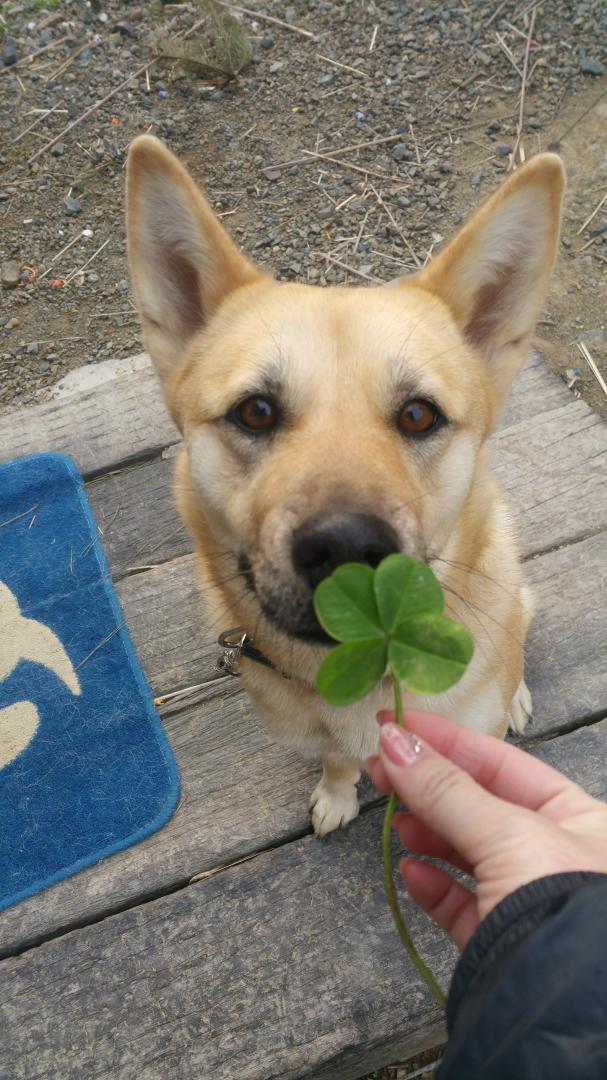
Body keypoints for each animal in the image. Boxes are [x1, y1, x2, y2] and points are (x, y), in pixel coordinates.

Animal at [126, 137, 561, 833]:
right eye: (256, 411)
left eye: (419, 415)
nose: (348, 549)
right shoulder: (325, 739)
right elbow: (335, 763)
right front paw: (336, 797)